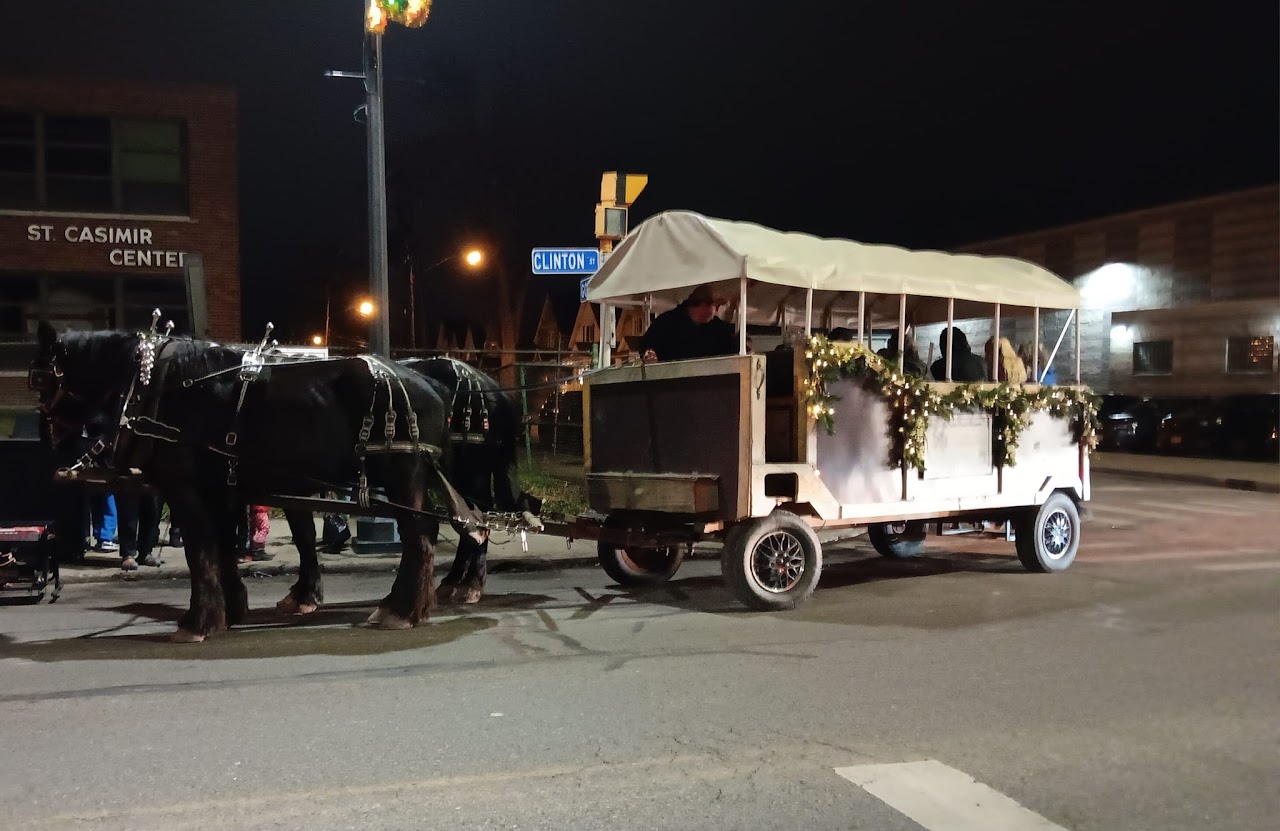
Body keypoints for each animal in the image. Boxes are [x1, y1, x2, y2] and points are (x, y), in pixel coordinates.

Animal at [35, 323, 483, 642]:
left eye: (40, 378)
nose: (49, 441)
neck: (162, 386)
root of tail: (432, 383)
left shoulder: (186, 489)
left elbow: (200, 552)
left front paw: (197, 622)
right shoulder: (223, 490)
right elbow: (222, 549)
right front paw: (230, 609)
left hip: (401, 472)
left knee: (419, 539)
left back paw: (402, 610)